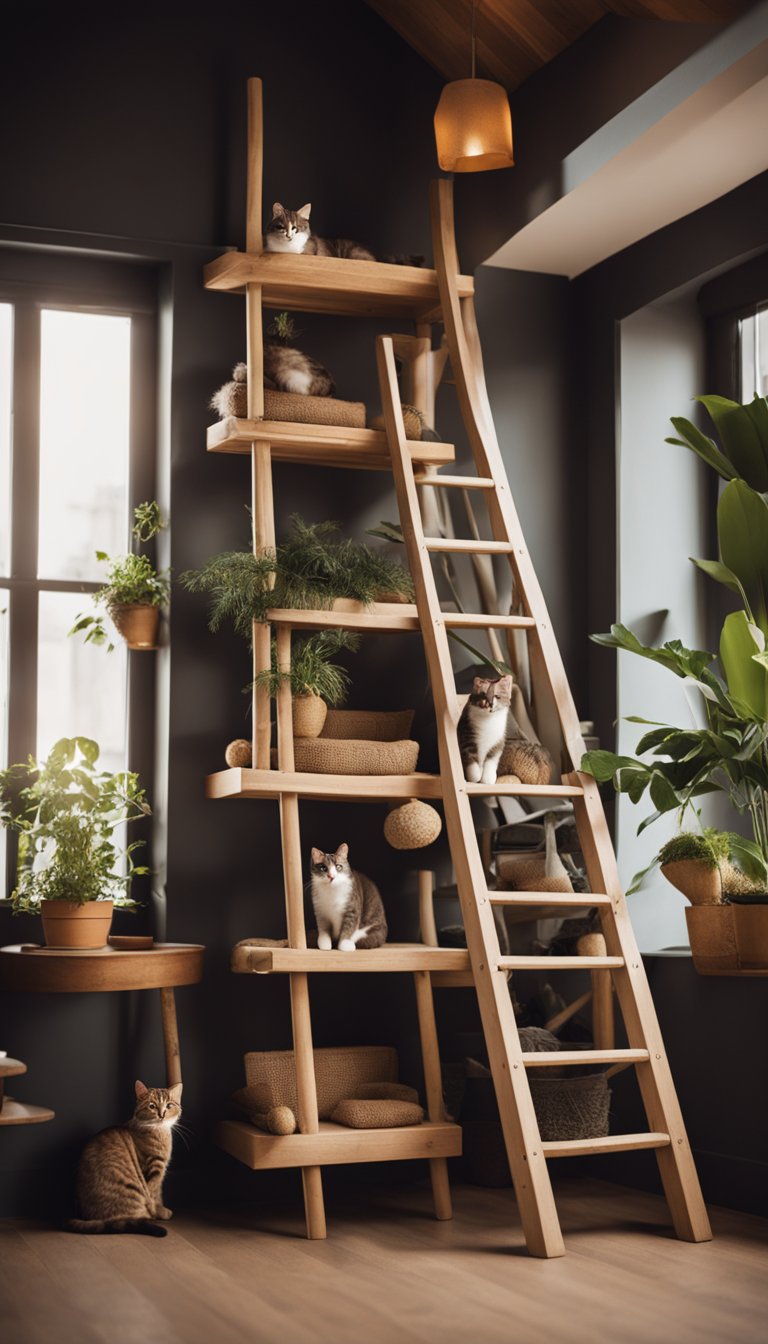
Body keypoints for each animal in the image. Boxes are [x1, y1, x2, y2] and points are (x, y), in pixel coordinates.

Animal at [68, 1080, 182, 1236]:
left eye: (169, 1105)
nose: (161, 1114)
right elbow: (154, 1195)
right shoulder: (153, 1168)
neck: (158, 1132)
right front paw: (161, 1212)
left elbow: (158, 1194)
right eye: (152, 1106)